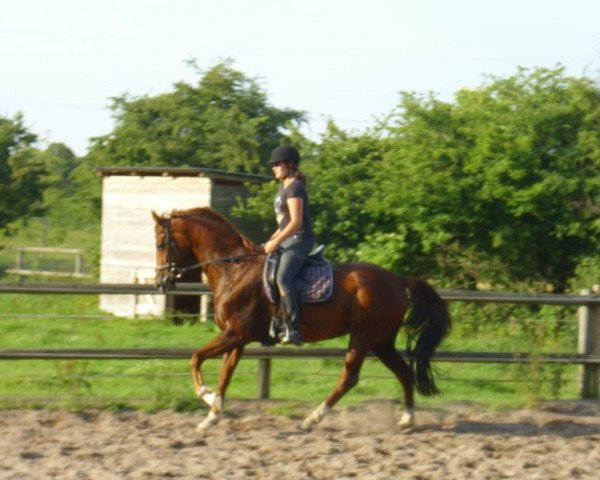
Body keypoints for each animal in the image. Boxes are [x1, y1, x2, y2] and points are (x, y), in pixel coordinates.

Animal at [152, 206, 452, 432]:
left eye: (161, 243)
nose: (159, 283)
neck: (234, 269)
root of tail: (398, 279)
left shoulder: (234, 334)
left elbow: (195, 358)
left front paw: (206, 395)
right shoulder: (237, 339)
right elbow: (225, 374)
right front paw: (213, 415)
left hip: (363, 337)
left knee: (349, 377)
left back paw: (311, 419)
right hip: (382, 341)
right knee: (403, 372)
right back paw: (407, 419)